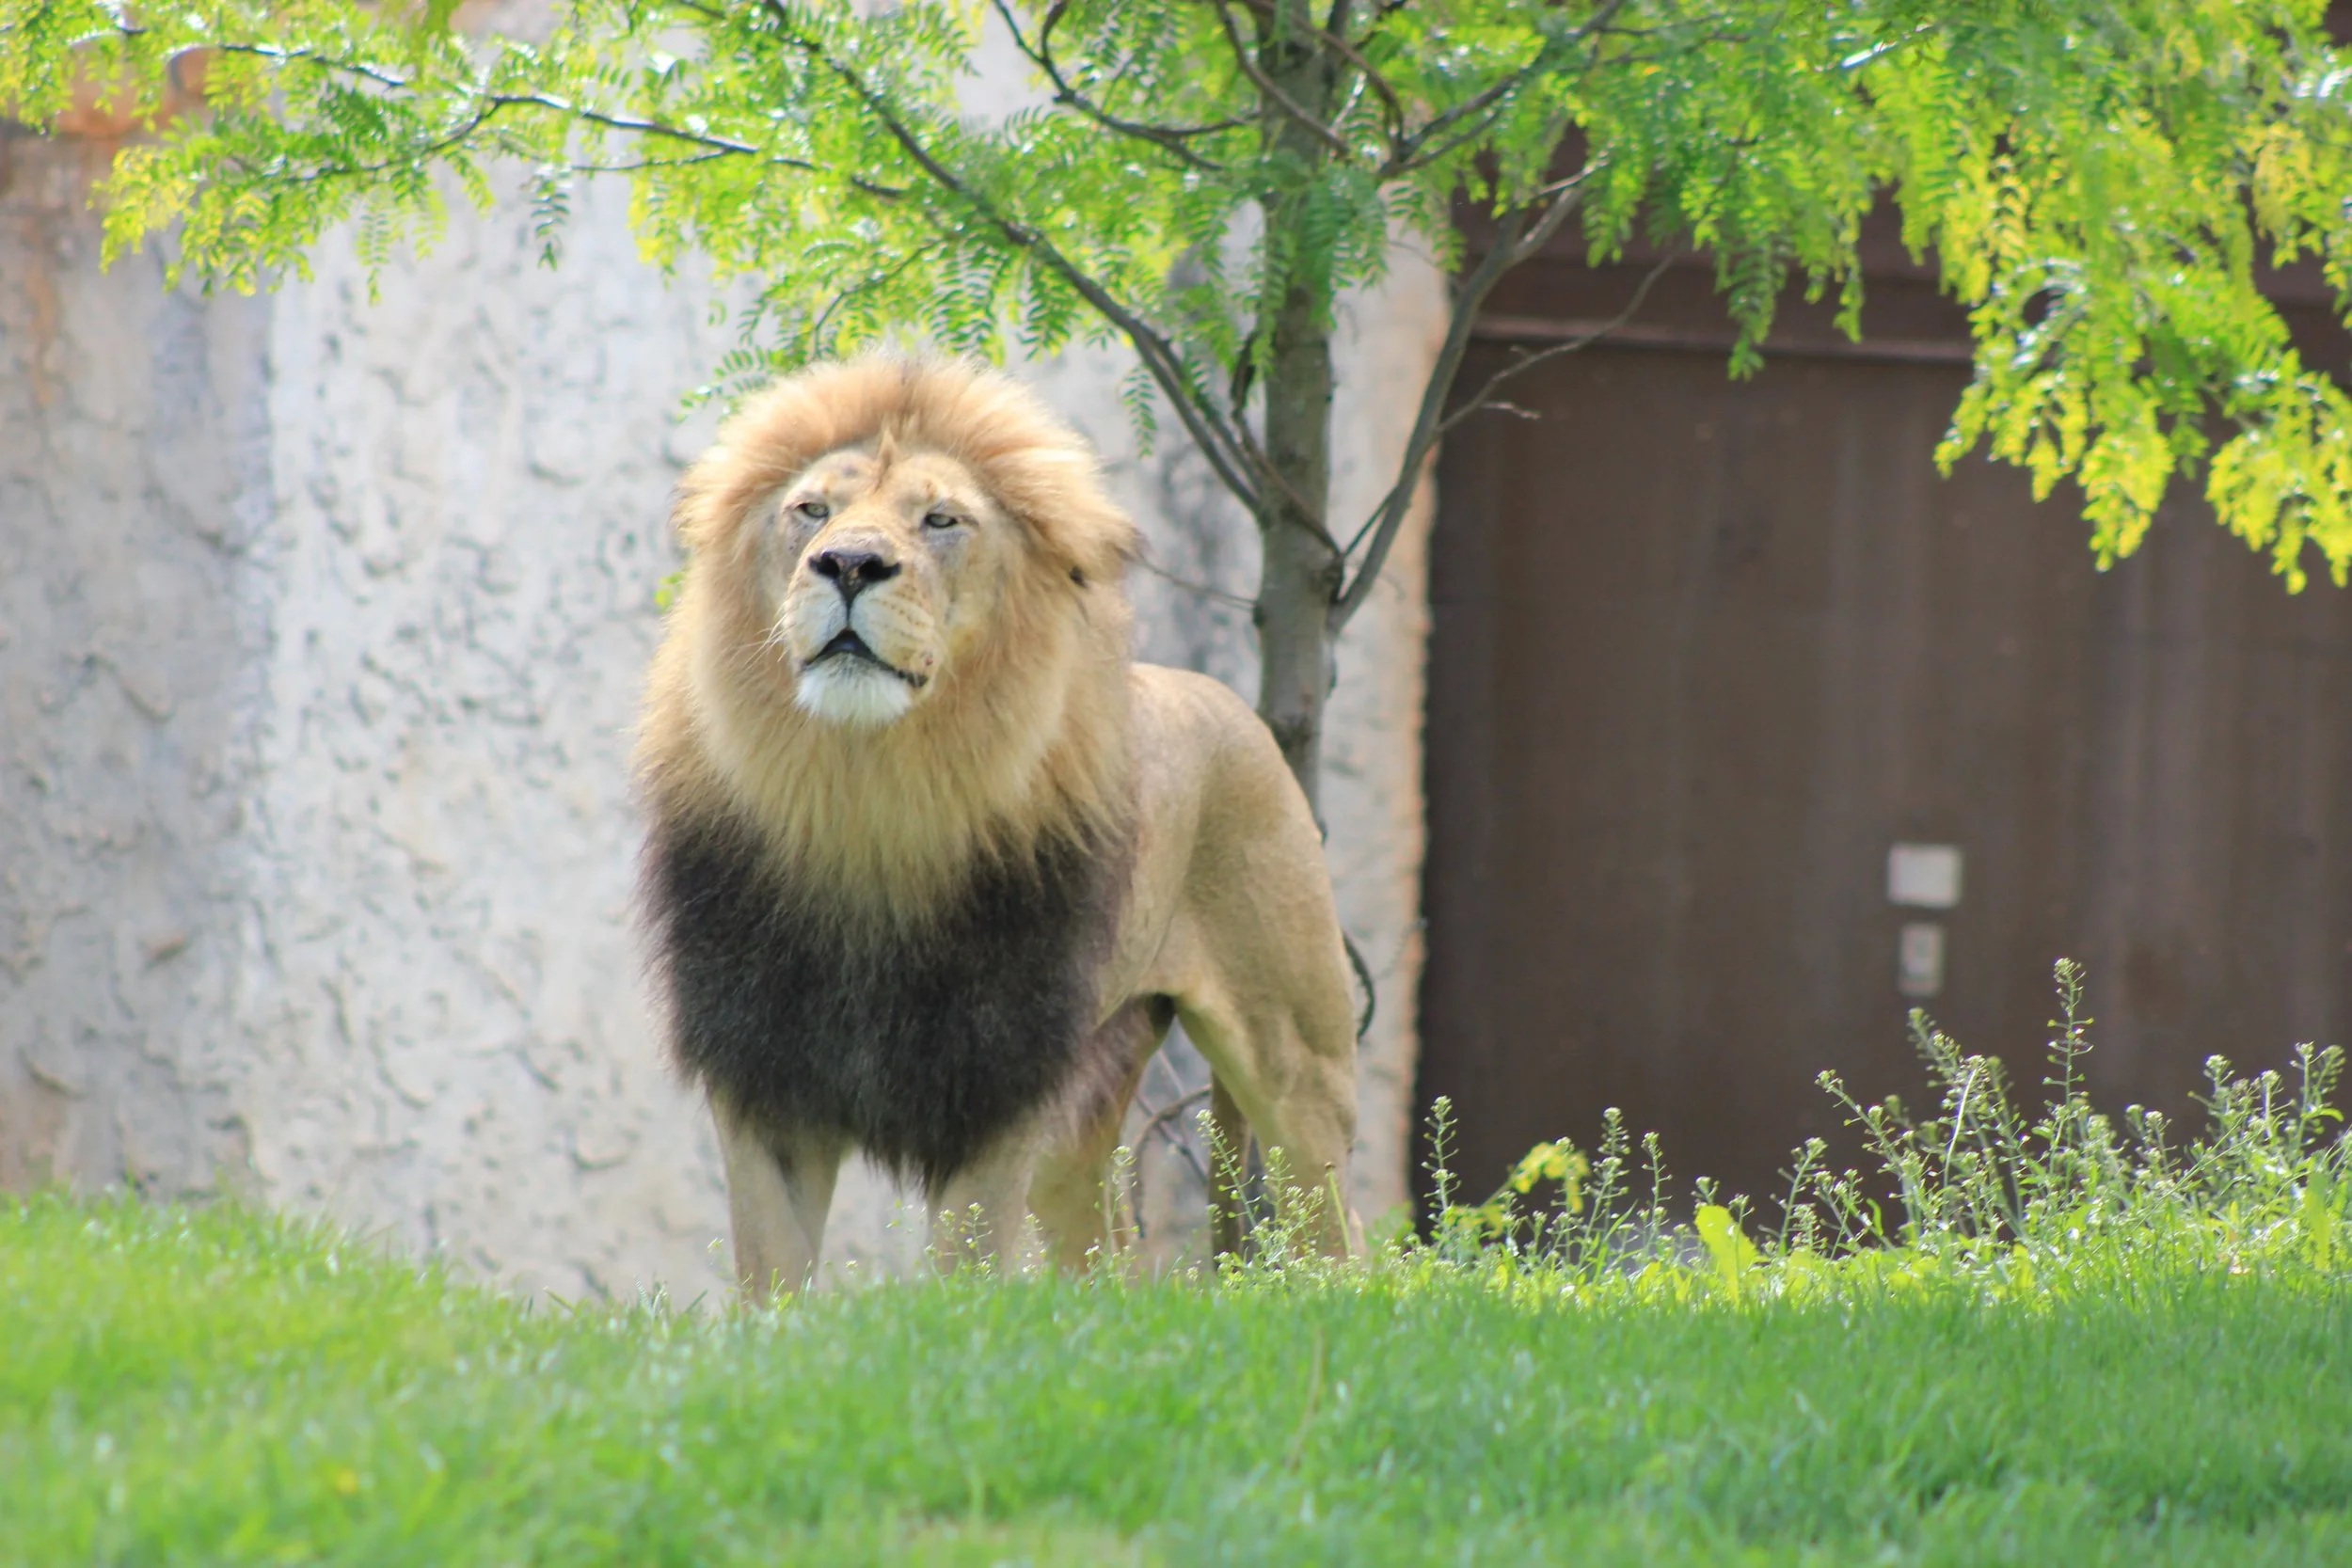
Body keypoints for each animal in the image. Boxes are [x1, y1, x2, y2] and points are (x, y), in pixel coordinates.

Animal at [636, 356, 1359, 1297]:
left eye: (941, 519)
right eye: (812, 510)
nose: (849, 564)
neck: (867, 797)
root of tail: (1234, 703)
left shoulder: (995, 1076)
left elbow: (962, 1265)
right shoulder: (762, 1069)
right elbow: (775, 1276)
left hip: (1297, 1064)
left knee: (1338, 1232)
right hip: (1085, 1105)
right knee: (1106, 1252)